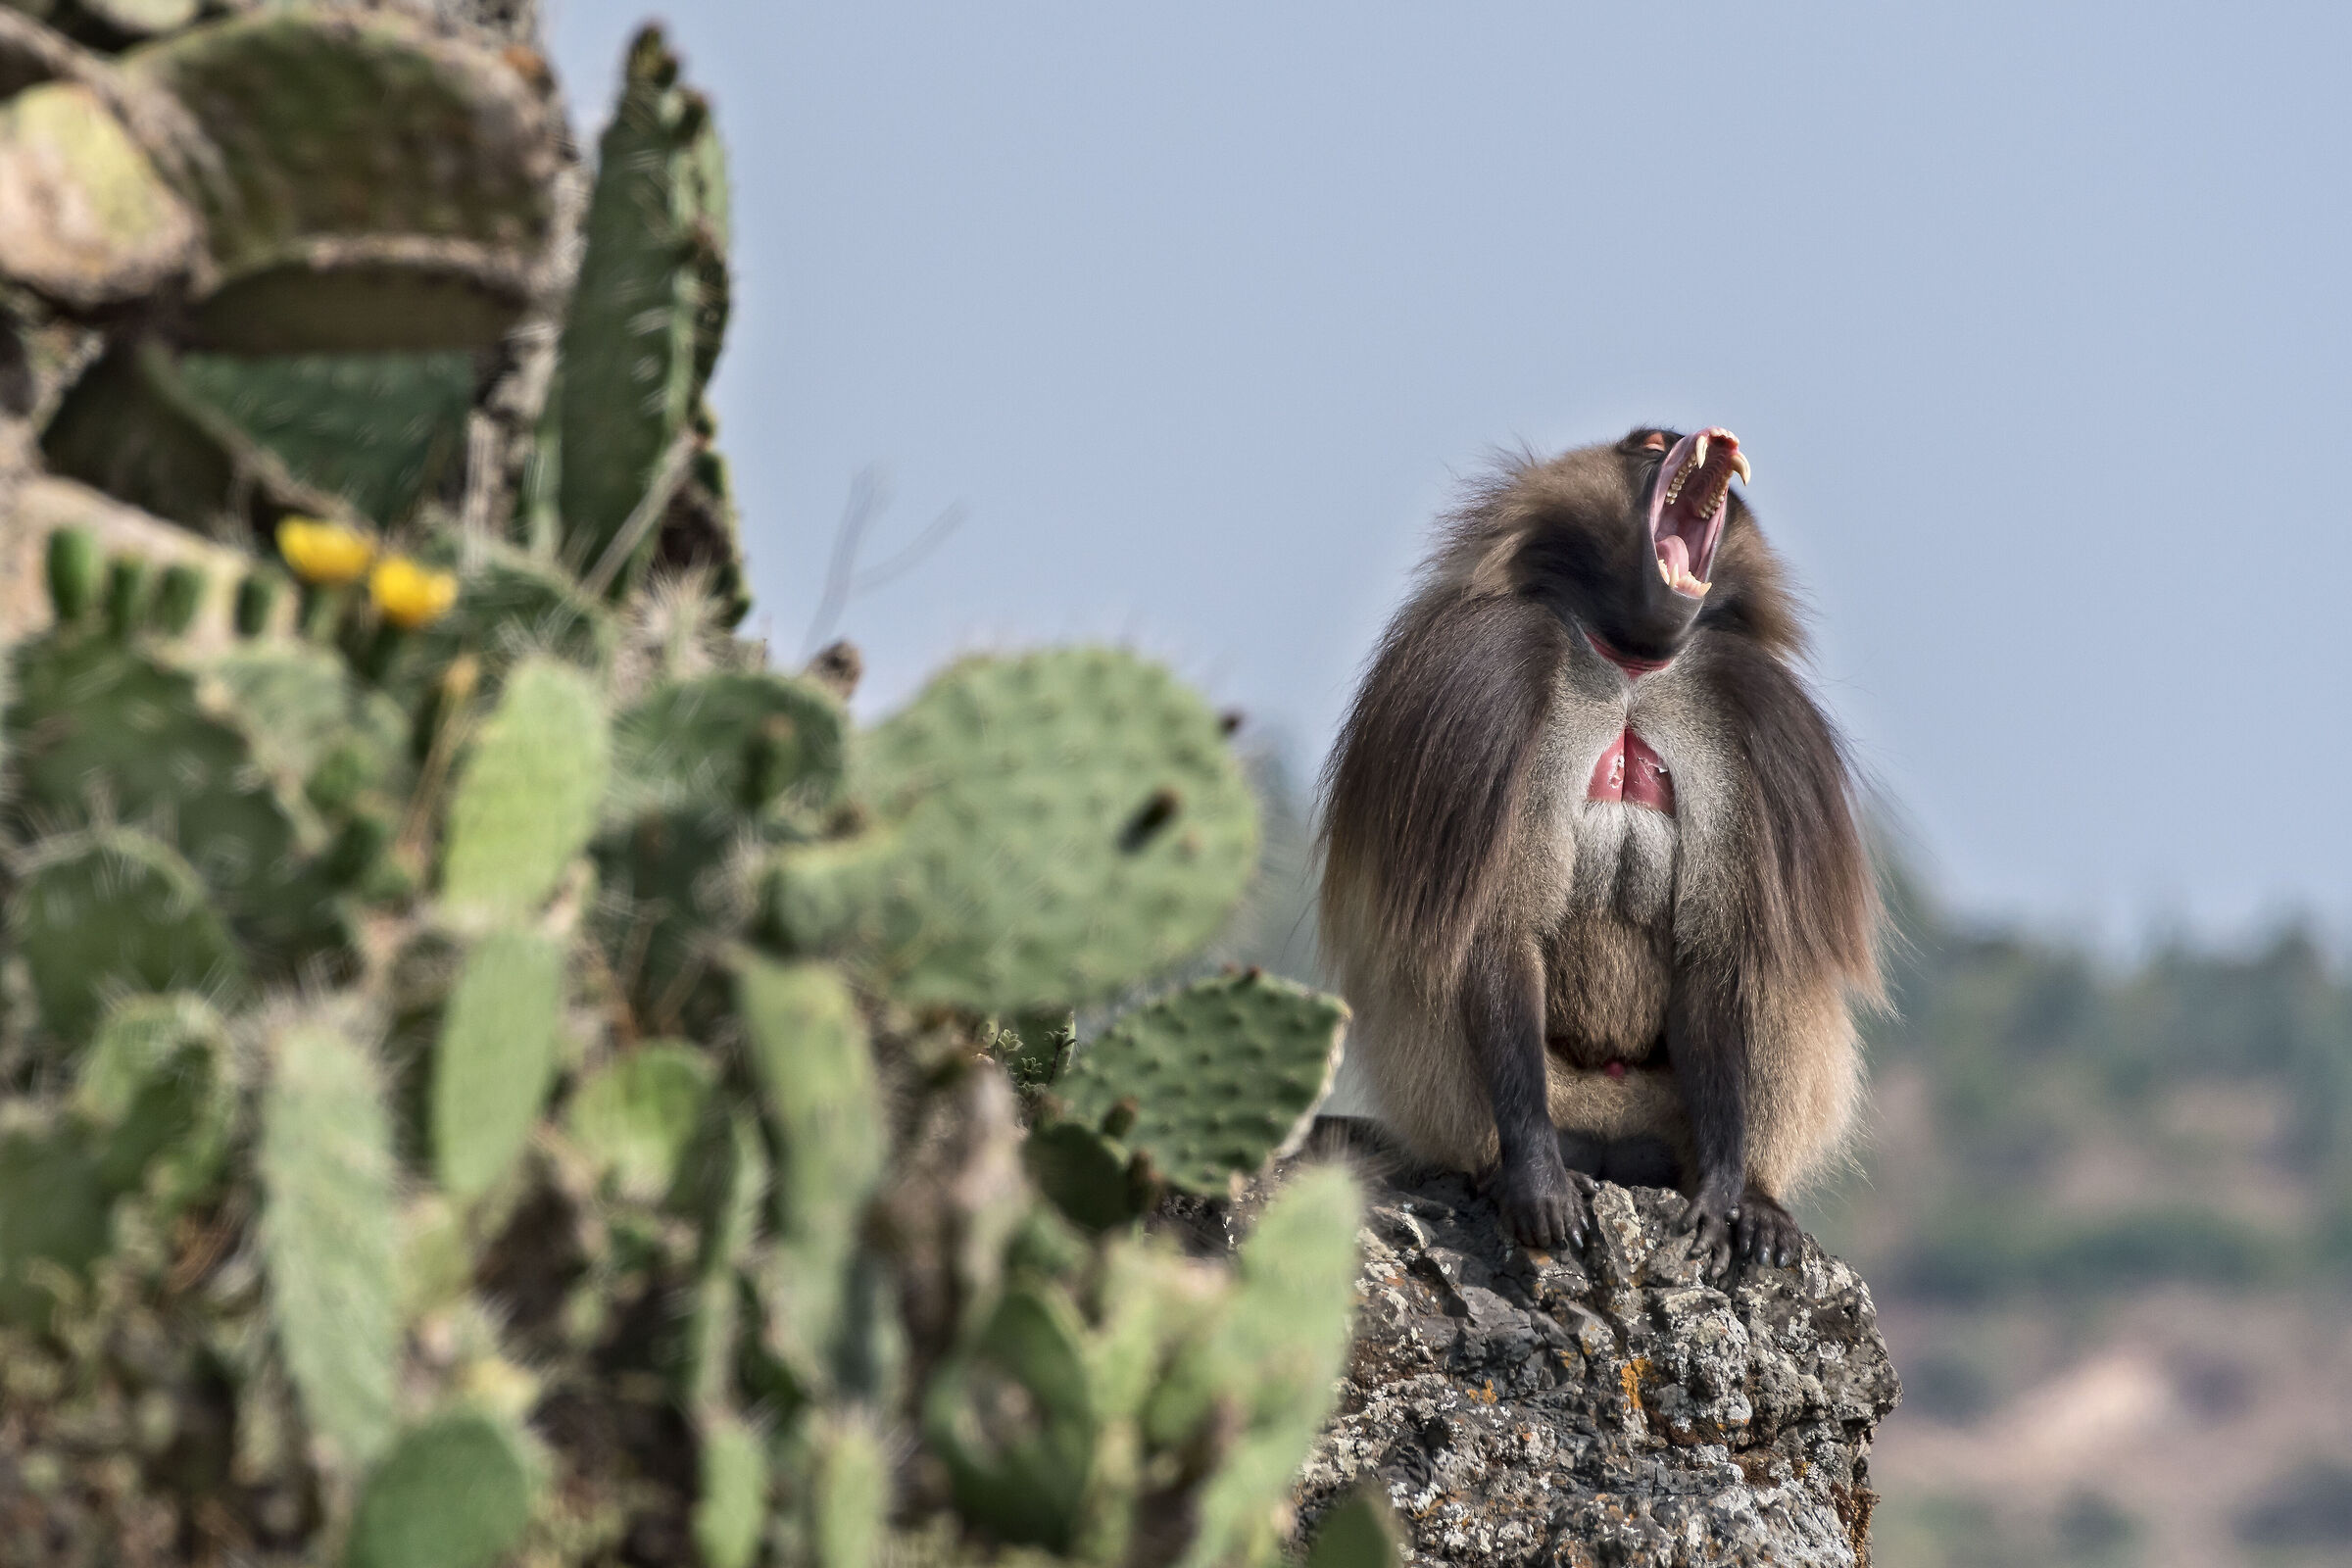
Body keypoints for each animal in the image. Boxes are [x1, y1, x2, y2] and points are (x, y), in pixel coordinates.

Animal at [1316, 426, 1882, 1278]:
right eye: (1648, 443)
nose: (1703, 435)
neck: (1629, 668)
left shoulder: (1751, 719)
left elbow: (1718, 951)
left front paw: (1728, 1195)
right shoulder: (1483, 681)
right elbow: (1494, 929)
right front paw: (1536, 1182)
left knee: (1773, 963)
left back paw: (1761, 1200)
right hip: (1491, 1103)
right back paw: (1505, 1169)